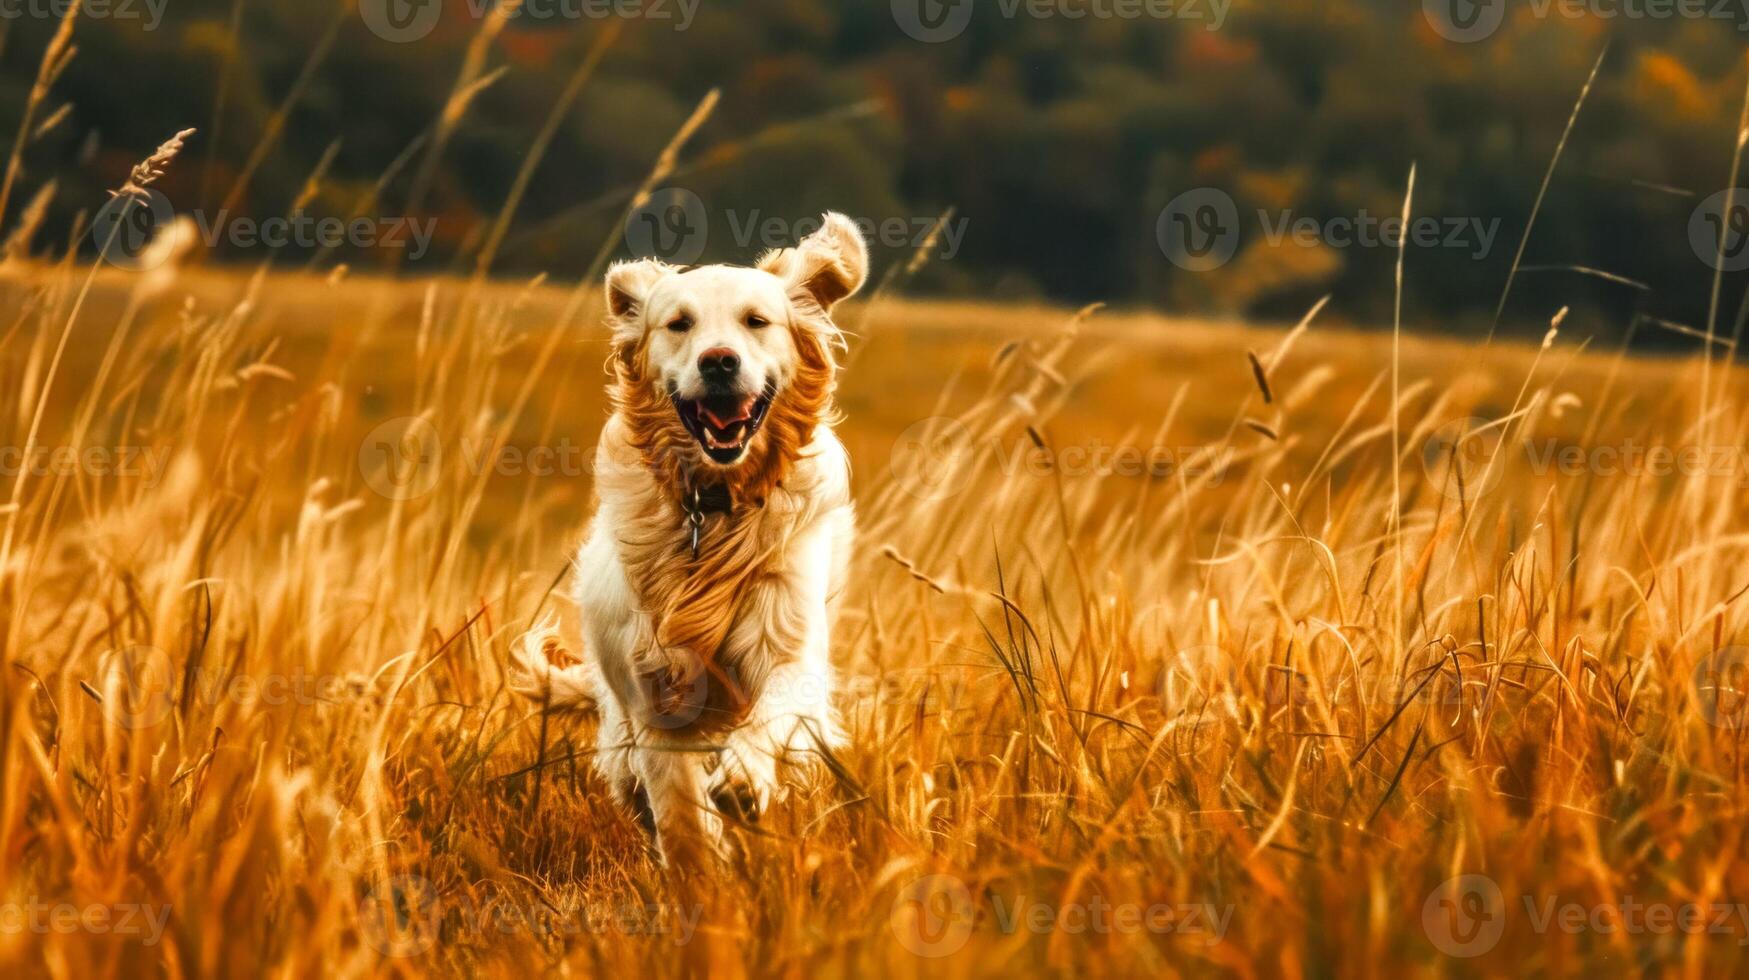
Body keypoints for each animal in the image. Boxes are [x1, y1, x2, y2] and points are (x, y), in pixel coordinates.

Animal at [507, 210, 867, 861]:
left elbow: (772, 710)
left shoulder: (789, 643)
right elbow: (682, 819)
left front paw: (745, 779)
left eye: (757, 321)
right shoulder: (655, 696)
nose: (718, 361)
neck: (714, 507)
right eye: (679, 324)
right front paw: (704, 871)